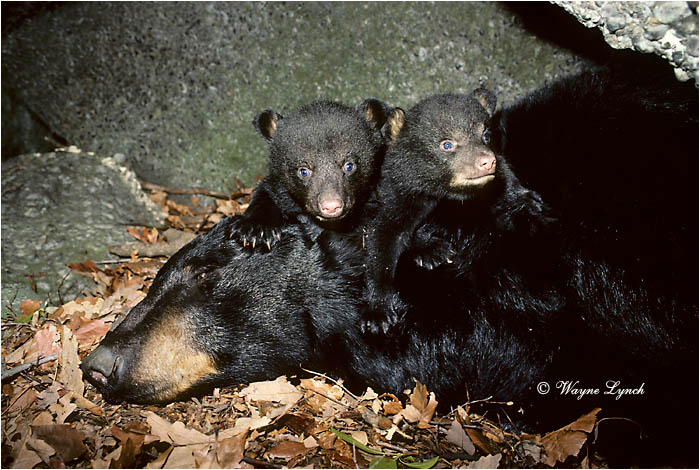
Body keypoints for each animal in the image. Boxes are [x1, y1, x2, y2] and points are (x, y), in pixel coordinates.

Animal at [228, 99, 390, 250]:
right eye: (303, 171)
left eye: (349, 166)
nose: (331, 206)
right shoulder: (279, 189)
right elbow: (266, 192)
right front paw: (255, 230)